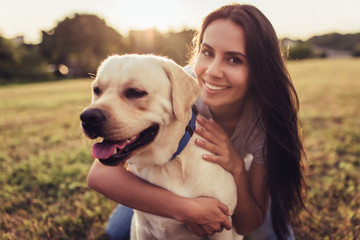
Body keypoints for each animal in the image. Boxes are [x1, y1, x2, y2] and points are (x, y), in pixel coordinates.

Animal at [80, 54, 252, 240]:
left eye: (136, 92)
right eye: (97, 90)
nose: (88, 117)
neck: (168, 164)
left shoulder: (222, 228)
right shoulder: (142, 228)